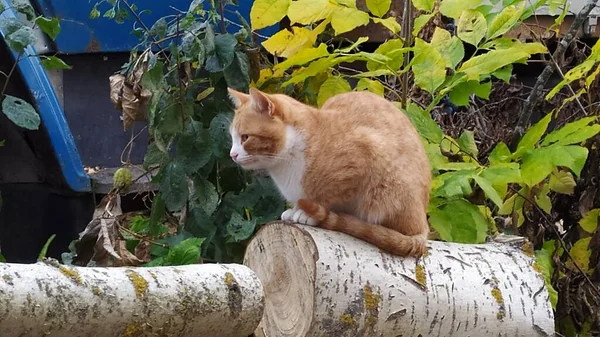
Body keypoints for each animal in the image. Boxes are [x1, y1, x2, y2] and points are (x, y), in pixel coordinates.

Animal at [229, 87, 432, 258]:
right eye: (232, 138)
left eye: (245, 137)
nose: (232, 154)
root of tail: (423, 227)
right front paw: (295, 210)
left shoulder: (365, 156)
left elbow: (328, 199)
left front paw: (308, 214)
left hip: (387, 191)